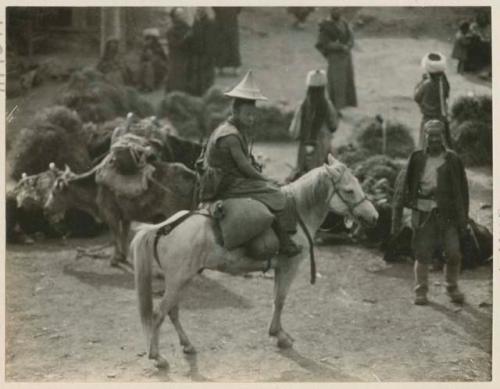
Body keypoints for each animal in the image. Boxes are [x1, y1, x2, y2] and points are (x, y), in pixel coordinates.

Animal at [131, 154, 376, 366]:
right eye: (349, 190)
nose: (374, 216)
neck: (298, 212)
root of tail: (163, 227)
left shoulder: (280, 268)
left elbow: (276, 299)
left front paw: (277, 333)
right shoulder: (289, 267)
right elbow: (280, 300)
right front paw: (280, 336)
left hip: (183, 279)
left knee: (172, 312)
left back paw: (187, 345)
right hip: (178, 280)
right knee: (159, 314)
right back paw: (157, 357)